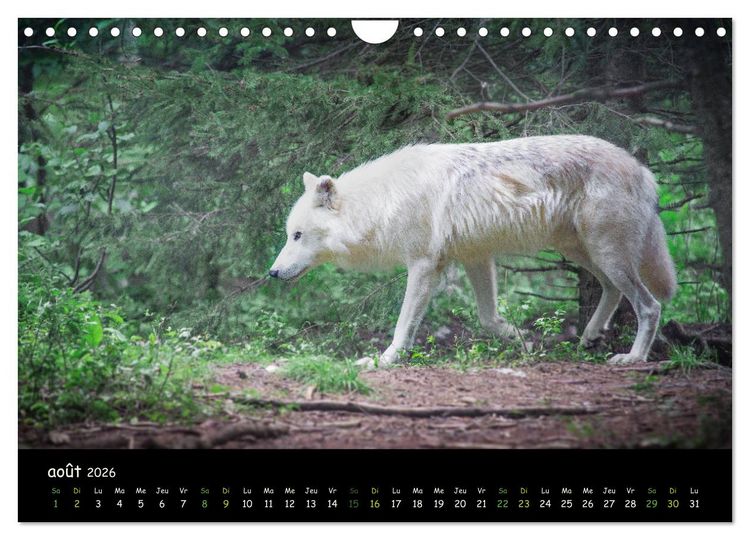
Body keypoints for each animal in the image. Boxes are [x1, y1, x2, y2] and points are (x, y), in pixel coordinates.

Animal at [269, 135, 677, 368]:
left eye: (297, 235)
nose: (271, 273)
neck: (381, 203)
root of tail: (643, 169)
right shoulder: (475, 258)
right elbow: (488, 319)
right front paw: (522, 340)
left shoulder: (423, 266)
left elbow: (403, 325)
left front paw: (385, 359)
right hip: (584, 253)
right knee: (612, 290)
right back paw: (590, 334)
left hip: (605, 253)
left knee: (650, 305)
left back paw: (634, 357)